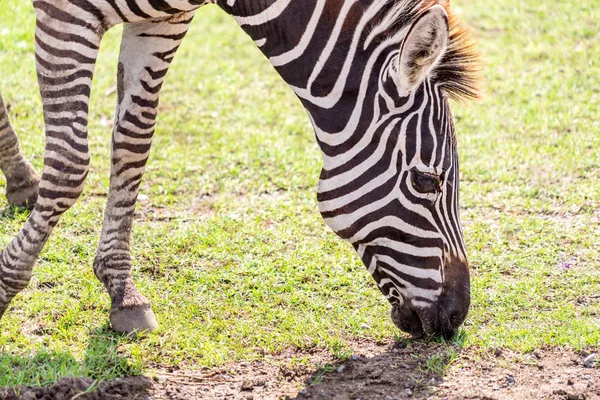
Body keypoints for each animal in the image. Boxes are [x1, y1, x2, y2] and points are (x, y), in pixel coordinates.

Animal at [0, 0, 478, 338]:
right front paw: (5, 283)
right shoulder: (67, 15)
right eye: (425, 181)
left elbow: (133, 144)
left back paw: (20, 178)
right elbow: (69, 166)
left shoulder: (163, 22)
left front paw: (122, 291)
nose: (457, 316)